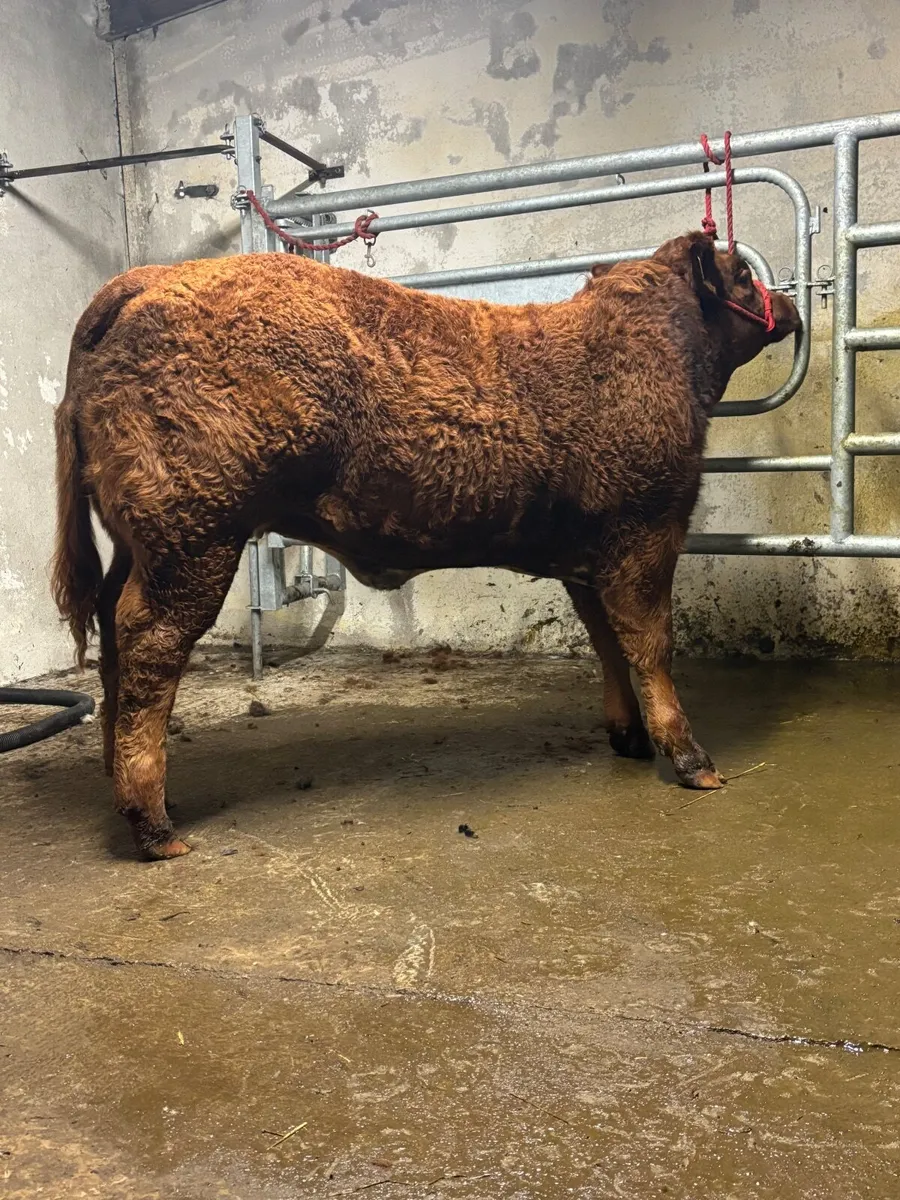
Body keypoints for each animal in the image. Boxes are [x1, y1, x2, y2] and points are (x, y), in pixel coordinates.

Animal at [51, 231, 800, 859]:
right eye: (740, 273)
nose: (789, 304)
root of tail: (148, 278)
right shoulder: (647, 529)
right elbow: (651, 644)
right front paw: (693, 759)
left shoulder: (587, 556)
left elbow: (609, 645)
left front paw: (630, 737)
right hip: (193, 535)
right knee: (148, 641)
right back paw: (154, 824)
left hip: (144, 542)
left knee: (114, 630)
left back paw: (124, 780)